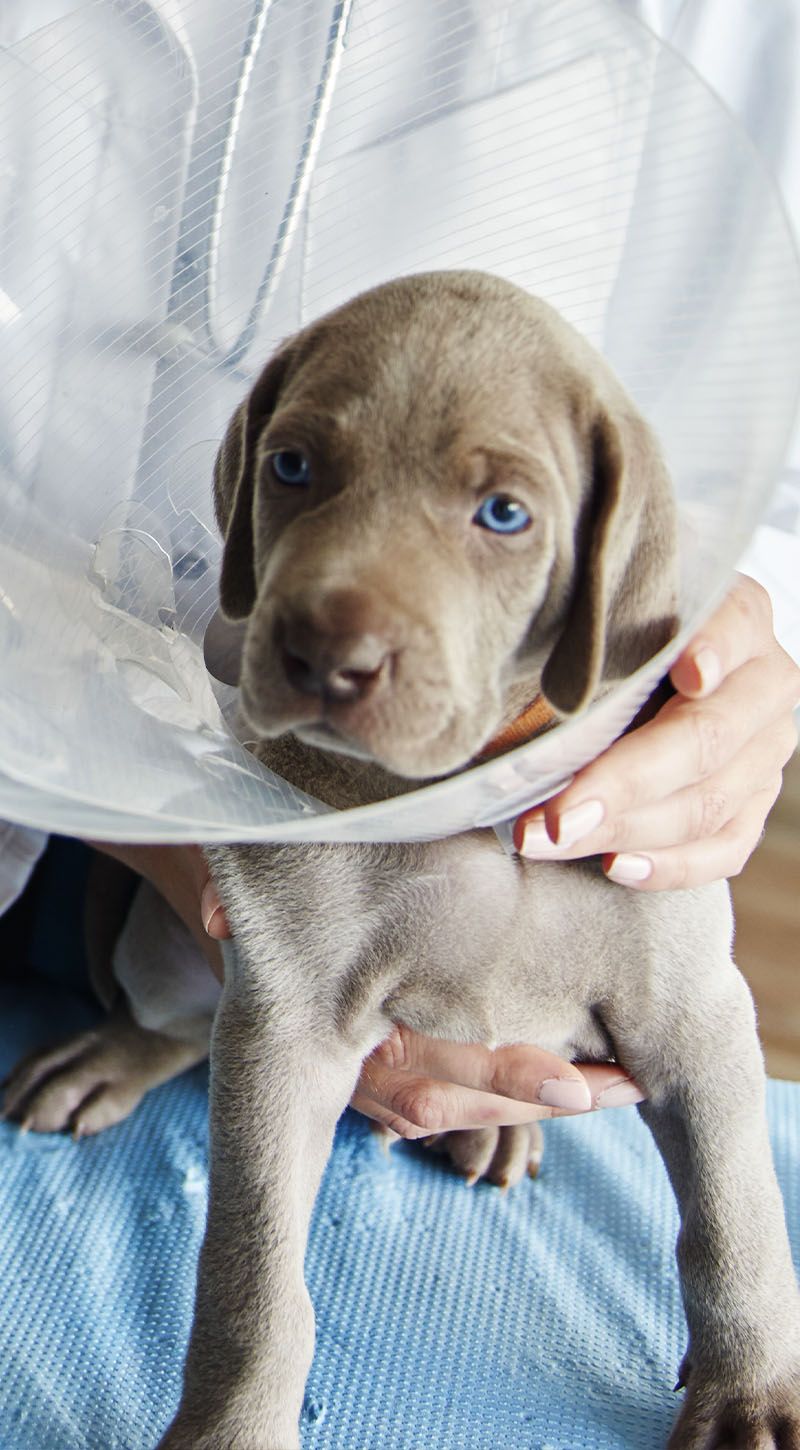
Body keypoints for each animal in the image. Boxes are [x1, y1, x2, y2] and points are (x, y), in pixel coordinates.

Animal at [6, 274, 800, 1450]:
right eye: (291, 466)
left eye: (504, 515)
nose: (323, 657)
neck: (462, 797)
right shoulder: (287, 1022)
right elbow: (254, 1278)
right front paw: (232, 1428)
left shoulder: (695, 1013)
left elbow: (736, 1223)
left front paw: (749, 1396)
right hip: (175, 959)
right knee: (185, 1024)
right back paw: (110, 1055)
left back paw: (502, 1138)